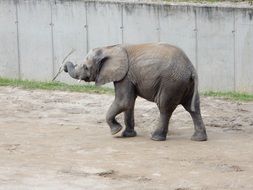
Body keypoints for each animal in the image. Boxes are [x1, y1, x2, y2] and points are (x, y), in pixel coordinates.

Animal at [64, 43, 207, 141]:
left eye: (85, 67)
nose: (65, 66)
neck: (110, 47)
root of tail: (191, 68)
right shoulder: (128, 77)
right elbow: (129, 103)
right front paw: (127, 135)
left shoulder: (124, 76)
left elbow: (123, 102)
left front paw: (115, 131)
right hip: (185, 84)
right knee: (193, 107)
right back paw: (198, 139)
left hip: (171, 83)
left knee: (164, 108)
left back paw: (155, 138)